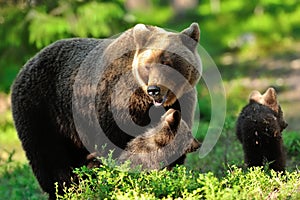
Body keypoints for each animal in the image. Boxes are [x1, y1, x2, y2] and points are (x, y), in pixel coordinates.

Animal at [11, 22, 202, 198]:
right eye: (147, 65)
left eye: (167, 63)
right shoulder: (115, 106)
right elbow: (112, 146)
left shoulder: (182, 103)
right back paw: (65, 189)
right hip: (42, 110)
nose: (153, 90)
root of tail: (26, 64)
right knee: (49, 157)